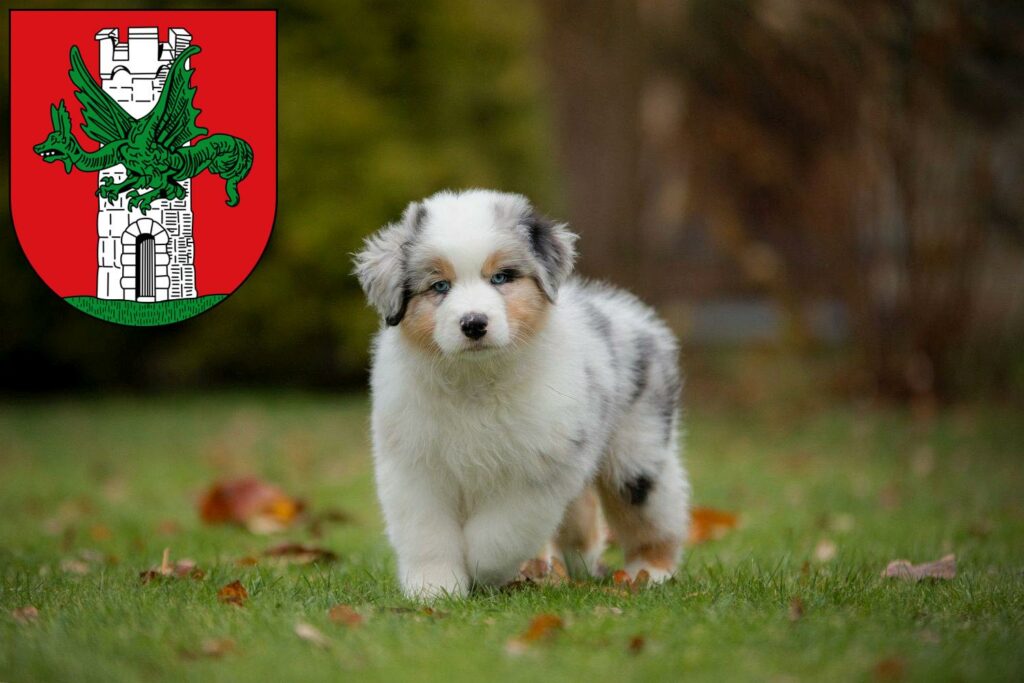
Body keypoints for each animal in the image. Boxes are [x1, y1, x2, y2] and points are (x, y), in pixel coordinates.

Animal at [356, 189, 692, 602]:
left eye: (501, 277)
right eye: (440, 286)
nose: (474, 324)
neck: (476, 381)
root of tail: (634, 314)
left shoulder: (539, 469)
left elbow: (500, 532)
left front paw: (481, 569)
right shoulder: (415, 466)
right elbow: (427, 534)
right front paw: (434, 590)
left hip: (638, 455)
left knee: (655, 516)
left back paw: (650, 572)